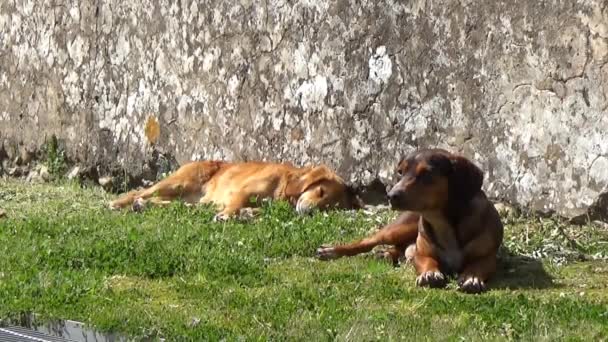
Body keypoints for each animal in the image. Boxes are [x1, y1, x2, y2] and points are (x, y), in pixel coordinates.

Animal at [316, 148, 506, 292]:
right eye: (401, 172)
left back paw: (386, 254)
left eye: (427, 174)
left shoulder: (488, 258)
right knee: (364, 242)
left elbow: (478, 265)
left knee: (398, 249)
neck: (445, 222)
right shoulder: (422, 253)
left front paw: (471, 277)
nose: (391, 196)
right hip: (397, 230)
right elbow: (427, 260)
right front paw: (430, 273)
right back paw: (332, 251)